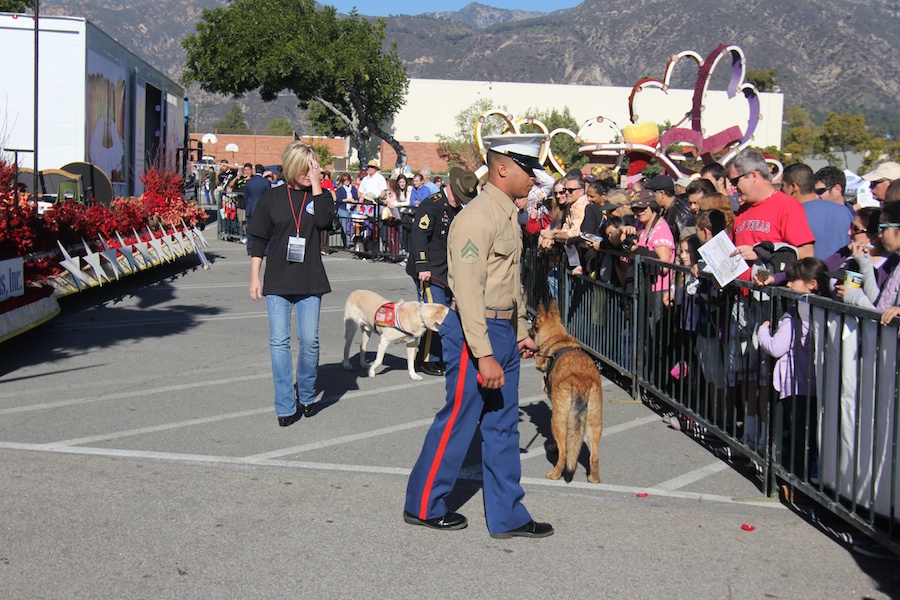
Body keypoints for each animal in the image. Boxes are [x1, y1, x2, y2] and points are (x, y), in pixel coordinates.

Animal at [532, 300, 600, 482]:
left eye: (533, 326)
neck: (557, 338)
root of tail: (581, 381)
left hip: (557, 421)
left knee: (564, 454)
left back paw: (555, 474)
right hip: (594, 423)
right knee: (594, 456)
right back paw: (594, 478)